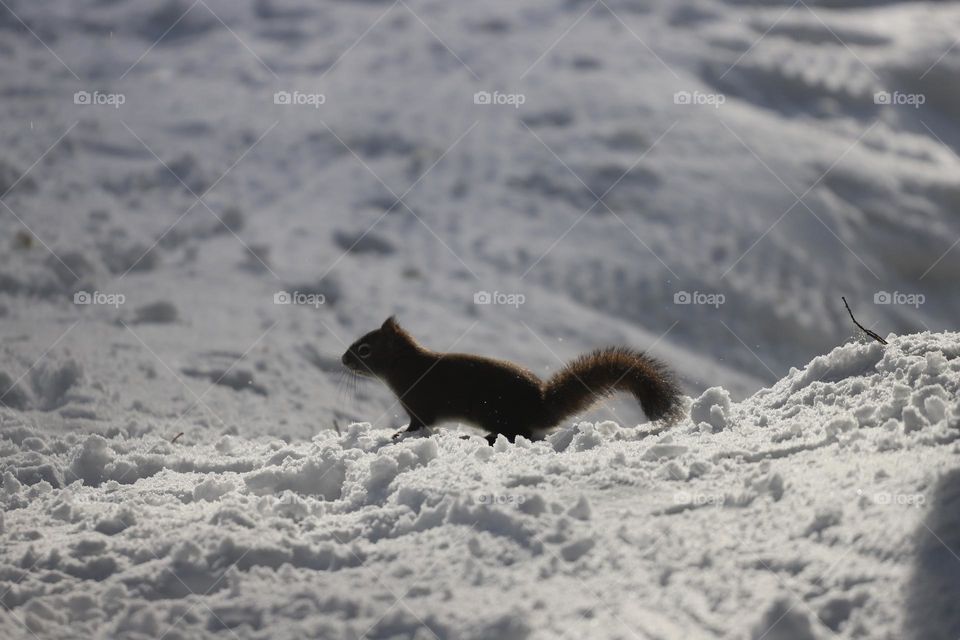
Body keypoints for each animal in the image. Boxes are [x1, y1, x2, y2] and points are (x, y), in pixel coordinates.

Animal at [342, 316, 688, 444]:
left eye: (364, 349)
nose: (342, 360)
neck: (407, 366)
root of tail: (540, 407)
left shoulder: (419, 405)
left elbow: (417, 425)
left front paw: (399, 435)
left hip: (497, 415)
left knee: (516, 433)